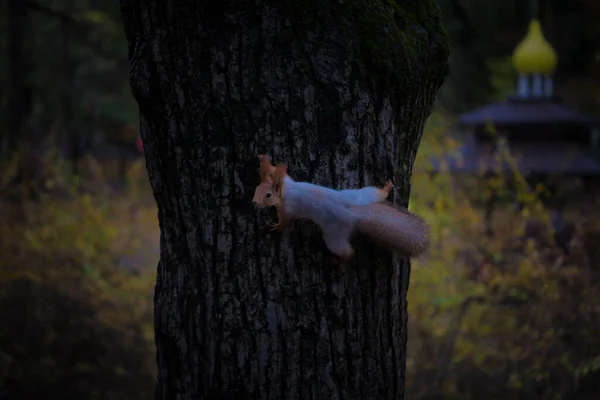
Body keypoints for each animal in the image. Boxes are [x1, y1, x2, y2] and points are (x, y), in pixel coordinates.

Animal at [252, 154, 396, 228]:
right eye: (256, 188)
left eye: (268, 195)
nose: (253, 202)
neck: (285, 193)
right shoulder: (286, 181)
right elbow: (274, 170)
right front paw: (264, 162)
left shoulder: (288, 208)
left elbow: (286, 221)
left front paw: (278, 227)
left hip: (363, 197)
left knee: (377, 194)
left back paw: (387, 188)